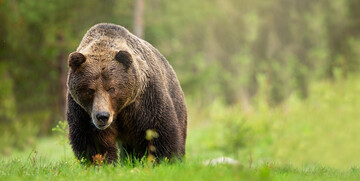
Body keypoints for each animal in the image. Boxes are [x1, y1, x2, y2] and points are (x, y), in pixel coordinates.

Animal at [65, 22, 187, 163]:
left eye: (111, 88)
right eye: (90, 90)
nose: (102, 116)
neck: (119, 110)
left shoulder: (145, 100)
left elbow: (158, 131)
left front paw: (165, 159)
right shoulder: (83, 112)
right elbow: (93, 141)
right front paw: (102, 162)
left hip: (176, 99)